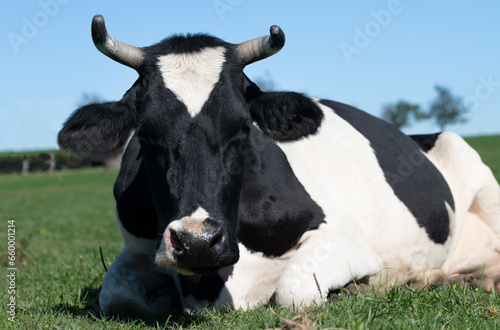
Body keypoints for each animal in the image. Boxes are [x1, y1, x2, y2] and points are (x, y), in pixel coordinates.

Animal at [58, 15, 500, 320]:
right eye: (146, 134)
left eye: (242, 128)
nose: (198, 240)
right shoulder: (137, 246)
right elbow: (115, 294)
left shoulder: (344, 237)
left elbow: (296, 289)